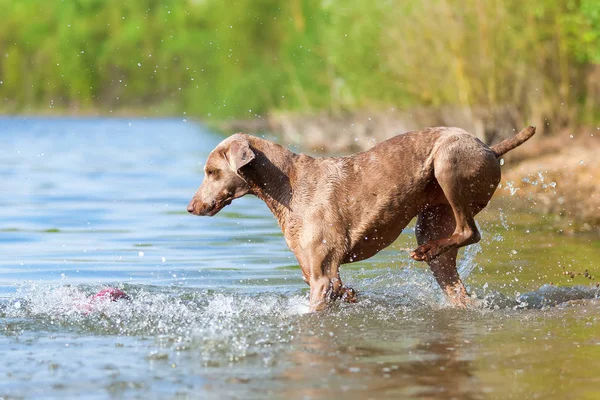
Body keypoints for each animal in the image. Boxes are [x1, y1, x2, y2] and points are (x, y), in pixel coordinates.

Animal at [186, 126, 536, 310]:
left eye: (211, 171)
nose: (191, 207)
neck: (287, 185)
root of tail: (490, 147)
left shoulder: (321, 275)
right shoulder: (318, 269)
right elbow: (339, 287)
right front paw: (350, 294)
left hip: (448, 163)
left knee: (470, 231)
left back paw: (428, 251)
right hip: (434, 218)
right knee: (453, 277)